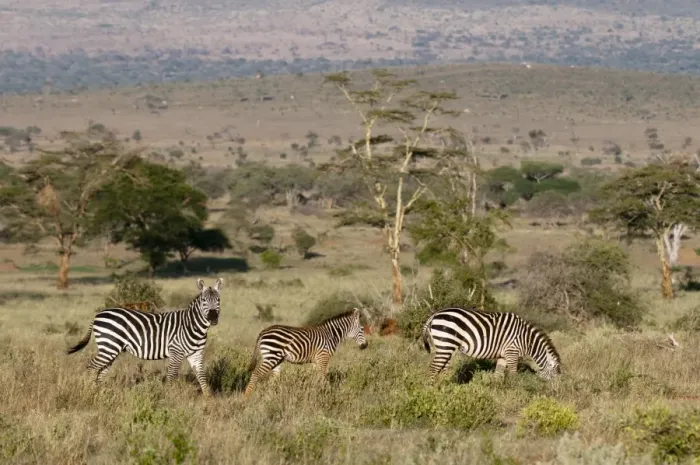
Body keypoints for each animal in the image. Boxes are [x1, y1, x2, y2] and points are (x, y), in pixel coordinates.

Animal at [66, 277, 223, 396]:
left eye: (218, 300)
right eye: (204, 300)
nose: (213, 318)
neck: (193, 326)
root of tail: (98, 315)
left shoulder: (196, 354)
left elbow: (201, 376)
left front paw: (208, 399)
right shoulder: (176, 351)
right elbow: (171, 375)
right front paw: (168, 397)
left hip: (110, 349)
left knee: (101, 371)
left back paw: (98, 393)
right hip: (109, 346)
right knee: (91, 367)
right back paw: (88, 390)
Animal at [421, 306, 560, 381]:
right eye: (554, 374)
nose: (556, 391)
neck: (526, 339)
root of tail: (434, 315)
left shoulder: (503, 355)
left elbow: (498, 375)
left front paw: (496, 393)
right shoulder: (512, 352)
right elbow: (513, 375)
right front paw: (516, 391)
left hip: (445, 347)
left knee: (442, 369)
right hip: (446, 343)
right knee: (433, 369)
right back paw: (432, 392)